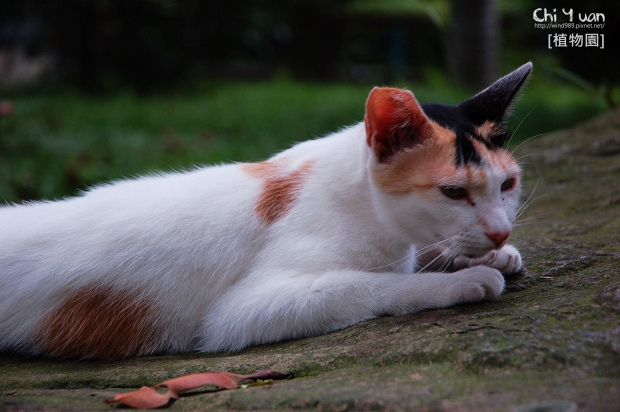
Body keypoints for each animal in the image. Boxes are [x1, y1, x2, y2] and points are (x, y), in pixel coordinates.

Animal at [0, 62, 532, 360]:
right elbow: (375, 283)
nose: (500, 233)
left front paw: (487, 257)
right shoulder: (241, 313)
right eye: (453, 192)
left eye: (507, 184)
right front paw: (466, 278)